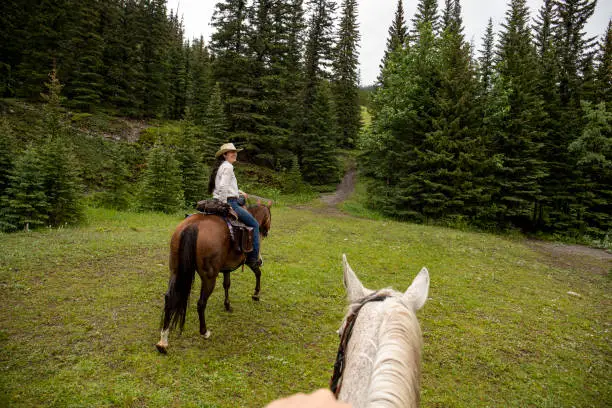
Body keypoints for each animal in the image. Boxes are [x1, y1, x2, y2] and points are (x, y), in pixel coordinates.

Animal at [157, 206, 272, 352]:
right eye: (269, 216)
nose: (267, 231)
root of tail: (193, 225)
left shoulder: (227, 268)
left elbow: (227, 284)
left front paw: (227, 305)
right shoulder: (249, 261)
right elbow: (258, 273)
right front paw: (256, 294)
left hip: (175, 271)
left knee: (169, 297)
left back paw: (163, 341)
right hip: (209, 277)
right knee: (201, 303)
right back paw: (204, 332)